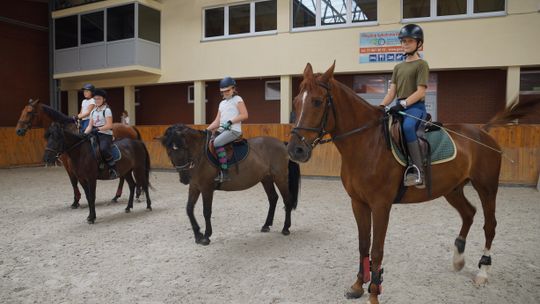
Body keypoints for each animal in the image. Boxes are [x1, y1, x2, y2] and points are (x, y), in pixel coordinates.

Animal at [160, 123, 304, 245]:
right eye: (169, 152)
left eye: (184, 148)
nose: (184, 179)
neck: (200, 155)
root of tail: (283, 144)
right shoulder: (194, 186)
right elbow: (189, 209)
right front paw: (198, 235)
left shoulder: (207, 188)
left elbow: (206, 211)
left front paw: (206, 236)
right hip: (266, 179)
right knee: (273, 198)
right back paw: (266, 225)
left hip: (280, 178)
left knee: (287, 200)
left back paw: (286, 228)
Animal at [286, 63, 540, 302]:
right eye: (296, 102)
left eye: (317, 102)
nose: (295, 150)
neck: (367, 143)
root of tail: (482, 132)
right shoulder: (358, 203)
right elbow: (363, 244)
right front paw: (358, 286)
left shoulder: (381, 205)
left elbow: (376, 250)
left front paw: (374, 293)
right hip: (452, 189)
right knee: (469, 213)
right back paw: (458, 259)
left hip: (486, 187)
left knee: (490, 225)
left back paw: (483, 271)